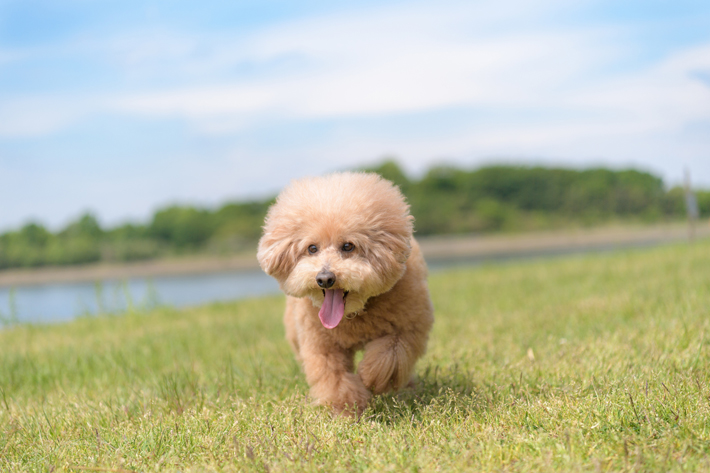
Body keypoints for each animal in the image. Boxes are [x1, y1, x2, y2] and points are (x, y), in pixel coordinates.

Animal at [256, 171, 434, 414]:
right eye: (312, 248)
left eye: (348, 246)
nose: (324, 279)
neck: (353, 315)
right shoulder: (322, 345)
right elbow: (334, 377)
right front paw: (346, 409)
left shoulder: (408, 328)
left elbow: (390, 355)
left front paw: (371, 379)